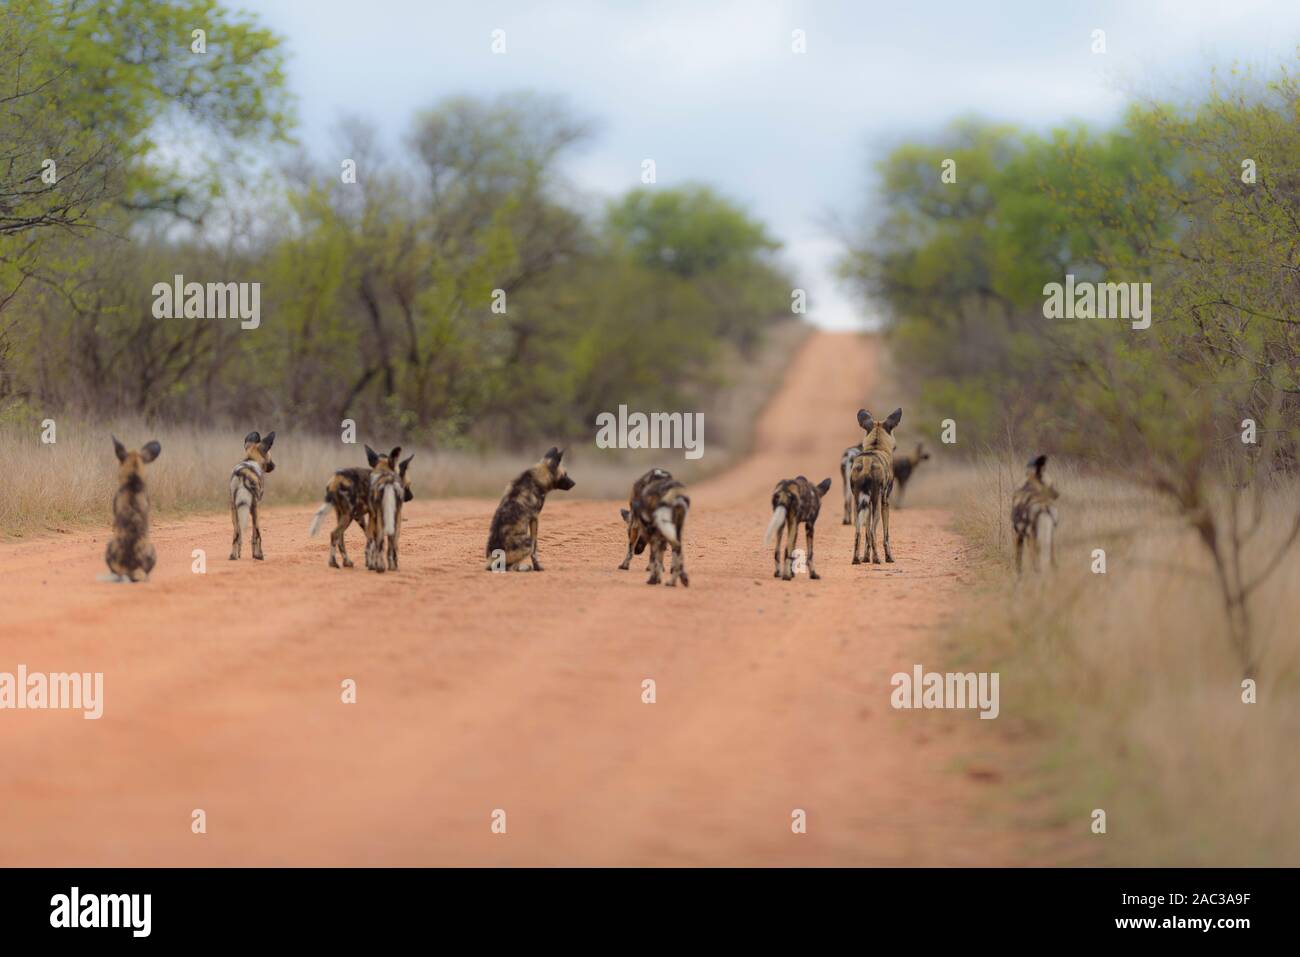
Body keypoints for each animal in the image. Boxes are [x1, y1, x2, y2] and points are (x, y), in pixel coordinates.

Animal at [847, 405, 899, 566]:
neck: (876, 447)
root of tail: (866, 464)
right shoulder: (884, 502)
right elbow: (885, 536)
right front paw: (889, 557)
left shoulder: (867, 504)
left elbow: (866, 538)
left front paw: (865, 558)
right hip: (876, 504)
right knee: (872, 531)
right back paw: (877, 559)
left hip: (858, 505)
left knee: (858, 532)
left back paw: (856, 559)